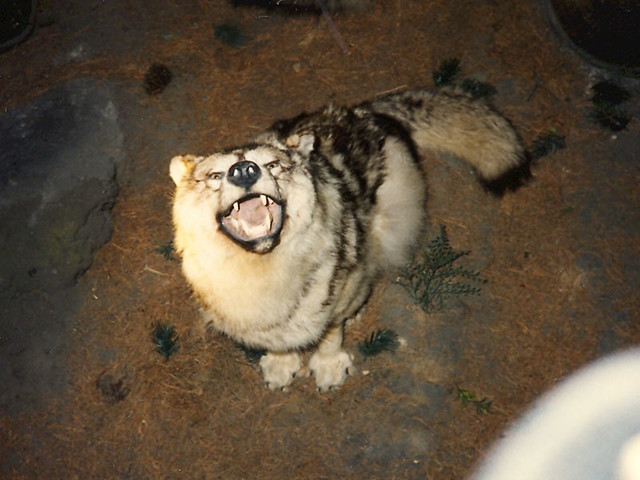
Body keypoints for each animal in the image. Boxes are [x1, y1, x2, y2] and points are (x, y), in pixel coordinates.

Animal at [170, 86, 526, 391]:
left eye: (272, 165)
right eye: (215, 176)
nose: (244, 170)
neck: (263, 271)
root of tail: (359, 111)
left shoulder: (333, 303)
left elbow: (330, 333)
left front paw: (328, 366)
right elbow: (282, 343)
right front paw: (282, 366)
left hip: (391, 222)